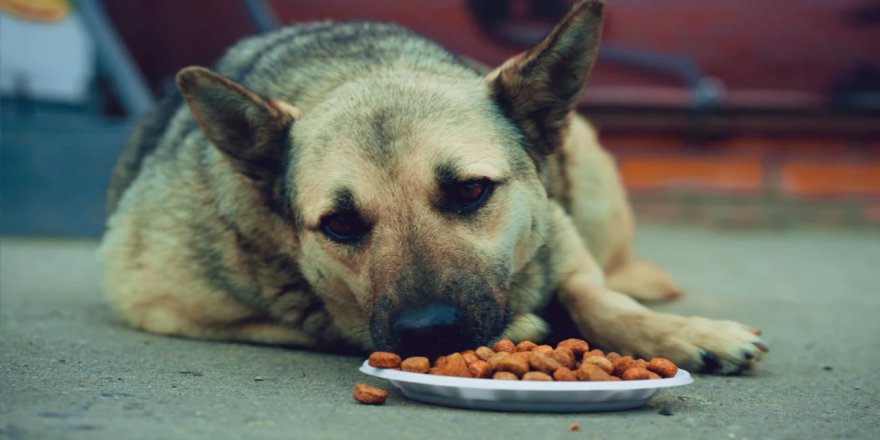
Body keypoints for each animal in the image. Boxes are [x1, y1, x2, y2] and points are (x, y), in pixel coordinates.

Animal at [99, 1, 768, 374]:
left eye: (470, 191)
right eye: (340, 224)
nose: (430, 333)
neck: (361, 69)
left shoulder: (562, 240)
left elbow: (596, 297)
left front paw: (687, 333)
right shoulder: (154, 297)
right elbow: (327, 322)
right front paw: (526, 327)